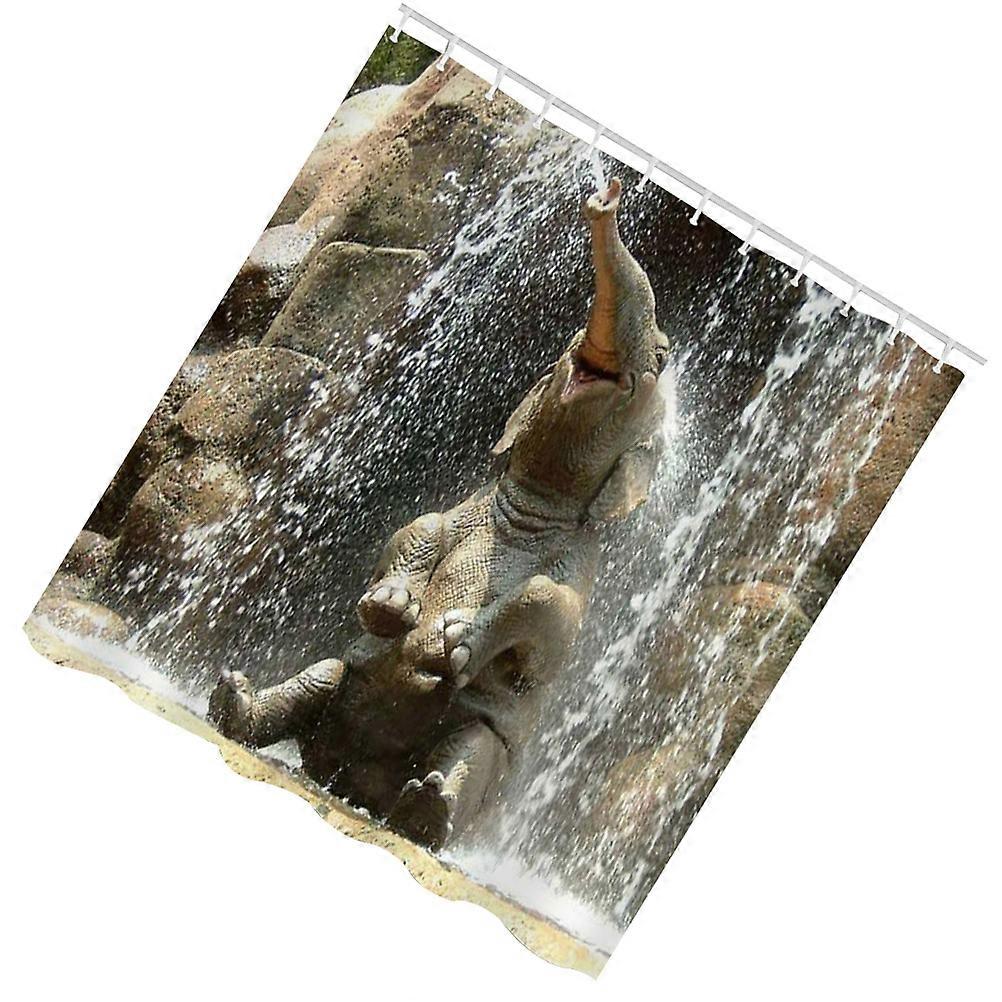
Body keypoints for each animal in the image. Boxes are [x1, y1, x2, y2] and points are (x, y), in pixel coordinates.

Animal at [209, 177, 670, 850]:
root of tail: (348, 781)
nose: (605, 195)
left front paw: (454, 643)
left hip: (486, 753)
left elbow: (553, 626)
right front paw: (393, 607)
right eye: (567, 348)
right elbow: (420, 525)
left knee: (470, 748)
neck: (532, 507)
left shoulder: (580, 559)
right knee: (323, 672)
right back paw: (234, 700)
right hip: (338, 681)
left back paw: (425, 810)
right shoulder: (467, 509)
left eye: (658, 363)